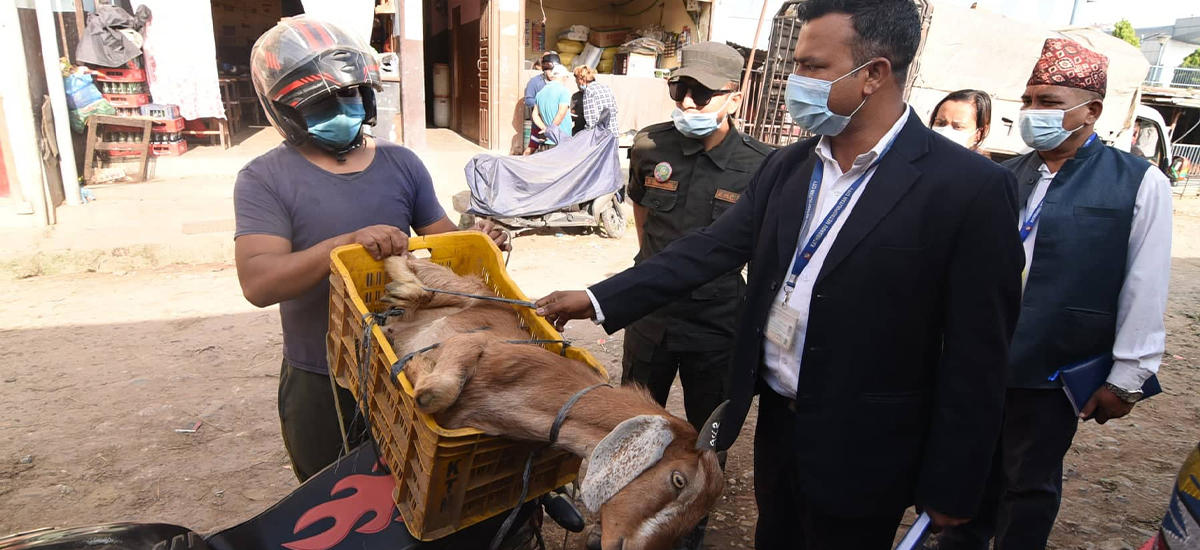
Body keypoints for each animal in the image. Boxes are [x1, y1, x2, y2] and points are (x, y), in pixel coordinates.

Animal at [379, 256, 724, 550]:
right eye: (678, 479)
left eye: (699, 515)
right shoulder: (472, 344)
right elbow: (433, 392)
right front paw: (413, 365)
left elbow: (431, 393)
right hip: (468, 289)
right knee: (411, 264)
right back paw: (403, 288)